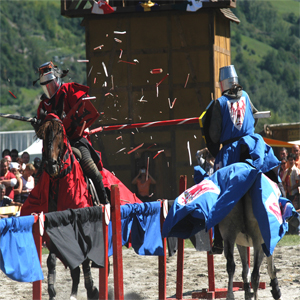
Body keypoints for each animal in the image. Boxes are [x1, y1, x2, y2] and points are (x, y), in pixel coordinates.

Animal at [35, 116, 98, 300]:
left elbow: (84, 260)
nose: (52, 165)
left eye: (60, 134)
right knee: (74, 268)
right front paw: (51, 291)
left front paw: (92, 289)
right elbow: (51, 260)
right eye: (42, 136)